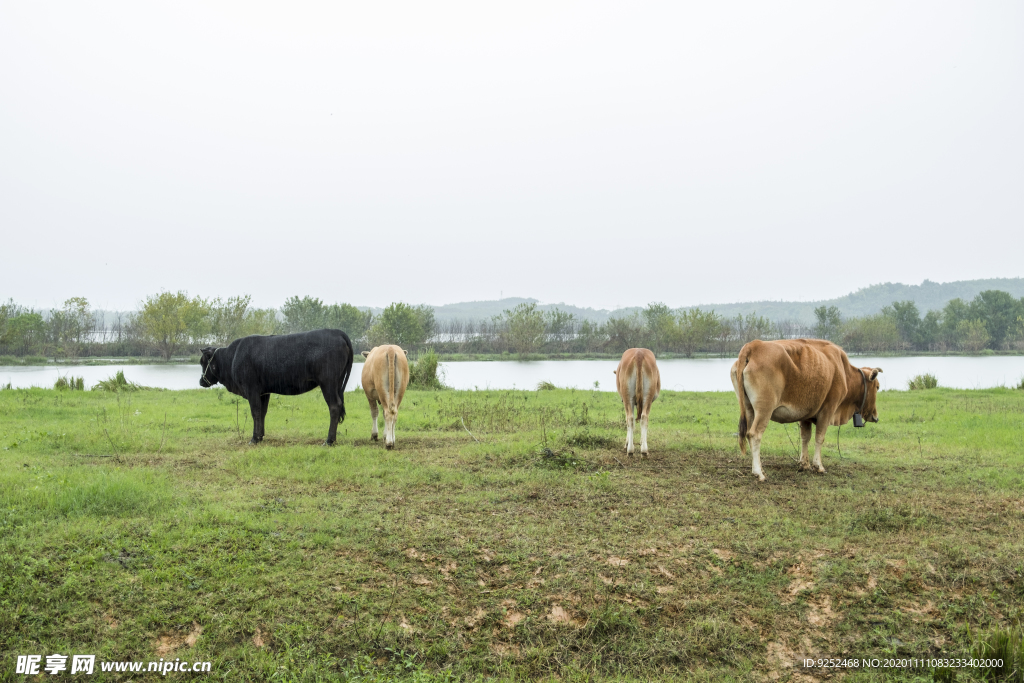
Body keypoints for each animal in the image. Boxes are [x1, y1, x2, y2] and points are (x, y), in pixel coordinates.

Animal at [199, 327, 356, 446]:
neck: (232, 358)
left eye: (202, 362)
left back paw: (329, 441)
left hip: (328, 382)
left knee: (334, 406)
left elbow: (255, 412)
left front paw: (254, 439)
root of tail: (337, 332)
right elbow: (263, 412)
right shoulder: (264, 392)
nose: (201, 381)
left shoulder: (251, 389)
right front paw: (260, 436)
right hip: (337, 383)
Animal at [729, 337, 880, 481]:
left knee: (748, 433)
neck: (842, 369)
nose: (875, 417)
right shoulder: (828, 410)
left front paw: (804, 464)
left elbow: (805, 437)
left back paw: (760, 469)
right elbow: (820, 437)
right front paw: (818, 466)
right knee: (754, 434)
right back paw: (759, 473)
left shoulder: (806, 414)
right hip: (764, 409)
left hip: (749, 409)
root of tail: (754, 345)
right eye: (878, 387)